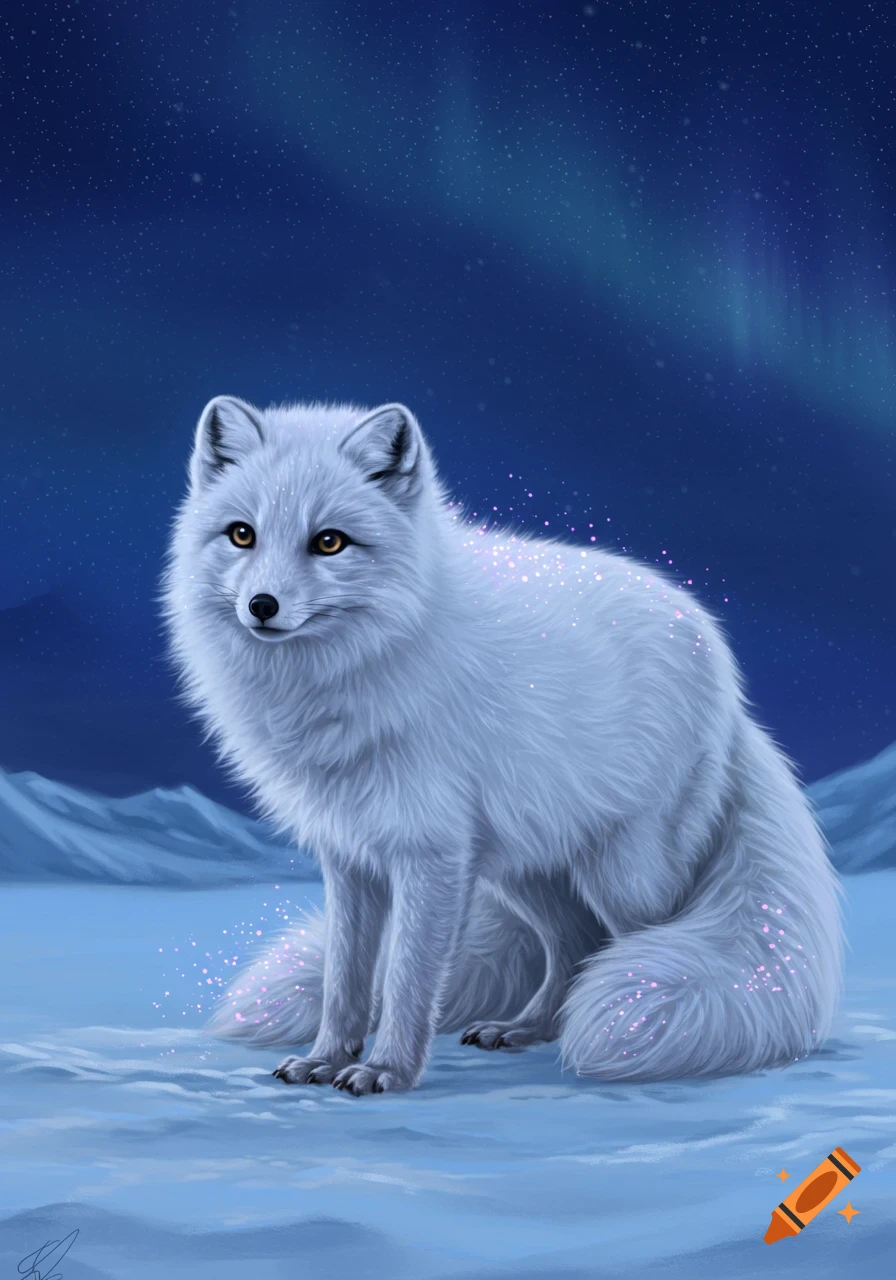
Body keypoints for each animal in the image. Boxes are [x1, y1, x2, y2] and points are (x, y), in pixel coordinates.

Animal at [161, 394, 844, 1096]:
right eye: (242, 534)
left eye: (329, 542)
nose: (261, 605)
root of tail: (727, 679)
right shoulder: (350, 854)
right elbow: (345, 978)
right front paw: (325, 1058)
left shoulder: (430, 853)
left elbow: (405, 979)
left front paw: (385, 1070)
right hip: (525, 866)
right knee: (577, 943)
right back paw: (527, 1028)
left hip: (625, 874)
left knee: (629, 944)